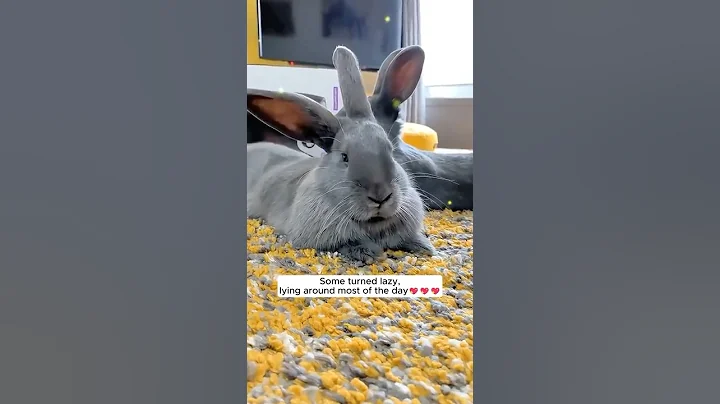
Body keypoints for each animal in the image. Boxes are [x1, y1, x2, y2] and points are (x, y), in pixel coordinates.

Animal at [247, 46, 435, 263]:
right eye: (345, 157)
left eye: (390, 150)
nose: (380, 196)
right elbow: (348, 244)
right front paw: (368, 253)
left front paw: (424, 247)